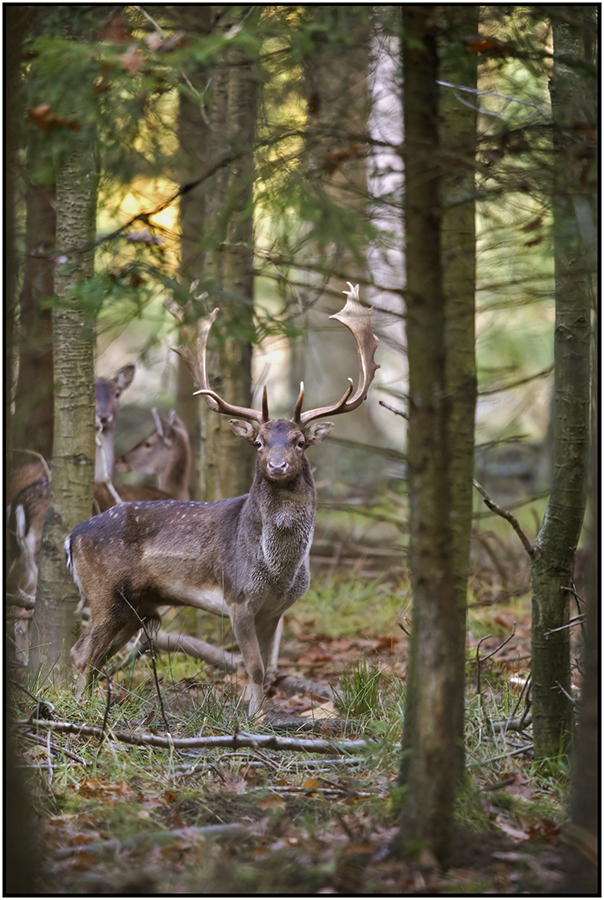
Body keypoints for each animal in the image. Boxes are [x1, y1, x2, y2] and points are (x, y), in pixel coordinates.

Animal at [66, 284, 378, 720]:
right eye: (259, 442)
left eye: (300, 441)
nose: (278, 465)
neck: (277, 570)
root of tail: (72, 537)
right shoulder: (237, 597)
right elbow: (254, 666)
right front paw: (254, 722)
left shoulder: (277, 609)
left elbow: (267, 669)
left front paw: (258, 717)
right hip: (104, 592)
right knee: (80, 654)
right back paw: (79, 715)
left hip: (137, 606)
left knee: (96, 658)